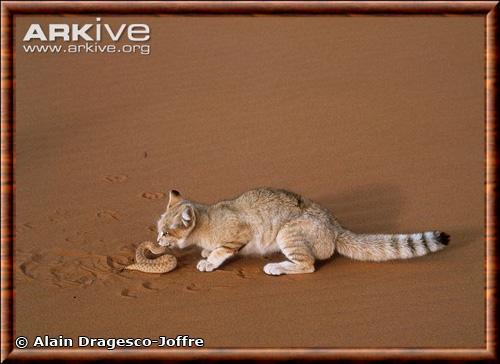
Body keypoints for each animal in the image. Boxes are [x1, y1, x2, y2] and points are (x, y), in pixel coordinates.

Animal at [156, 188, 450, 276]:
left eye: (166, 233)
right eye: (159, 229)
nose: (157, 240)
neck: (206, 218)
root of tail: (335, 226)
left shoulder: (239, 235)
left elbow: (221, 250)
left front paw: (208, 261)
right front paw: (205, 253)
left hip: (288, 234)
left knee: (308, 265)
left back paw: (276, 267)